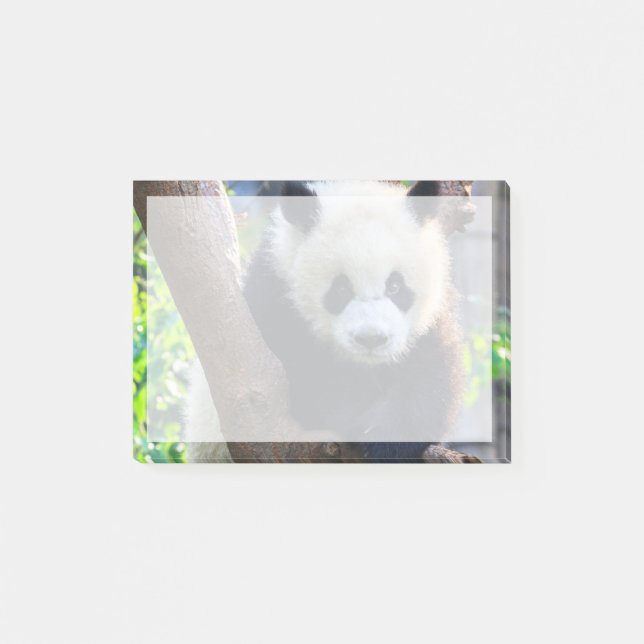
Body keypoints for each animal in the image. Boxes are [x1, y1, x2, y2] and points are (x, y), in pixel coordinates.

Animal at [184, 180, 470, 462]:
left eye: (395, 286)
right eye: (341, 289)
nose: (371, 338)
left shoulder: (430, 320)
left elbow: (430, 377)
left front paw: (384, 440)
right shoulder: (273, 301)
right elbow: (310, 388)